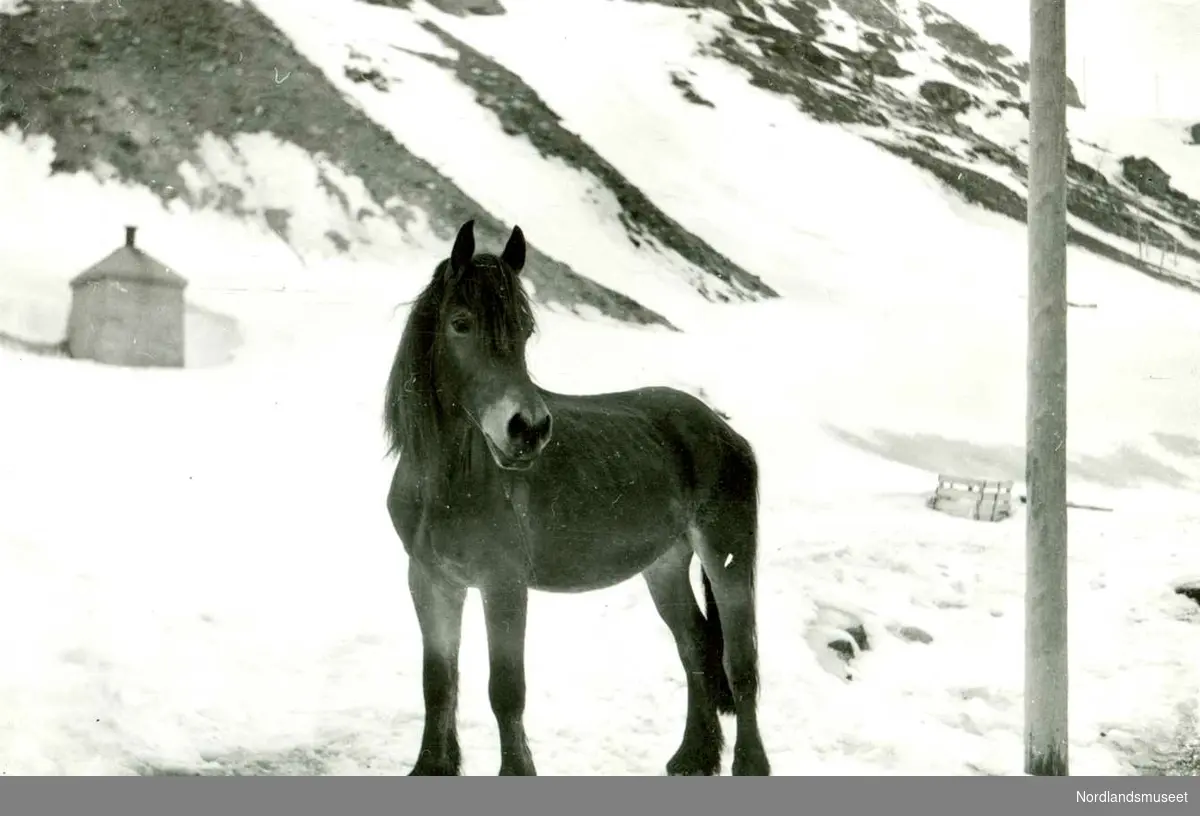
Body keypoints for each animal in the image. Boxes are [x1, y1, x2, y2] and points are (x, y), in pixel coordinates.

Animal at [381, 219, 768, 772]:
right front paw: (432, 767)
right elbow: (438, 682)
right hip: (665, 564)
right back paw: (693, 757)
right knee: (695, 646)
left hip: (728, 555)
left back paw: (747, 765)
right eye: (460, 323)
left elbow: (506, 690)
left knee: (740, 662)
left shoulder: (503, 585)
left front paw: (516, 771)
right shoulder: (431, 581)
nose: (528, 429)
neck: (450, 484)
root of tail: (721, 428)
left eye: (524, 330)